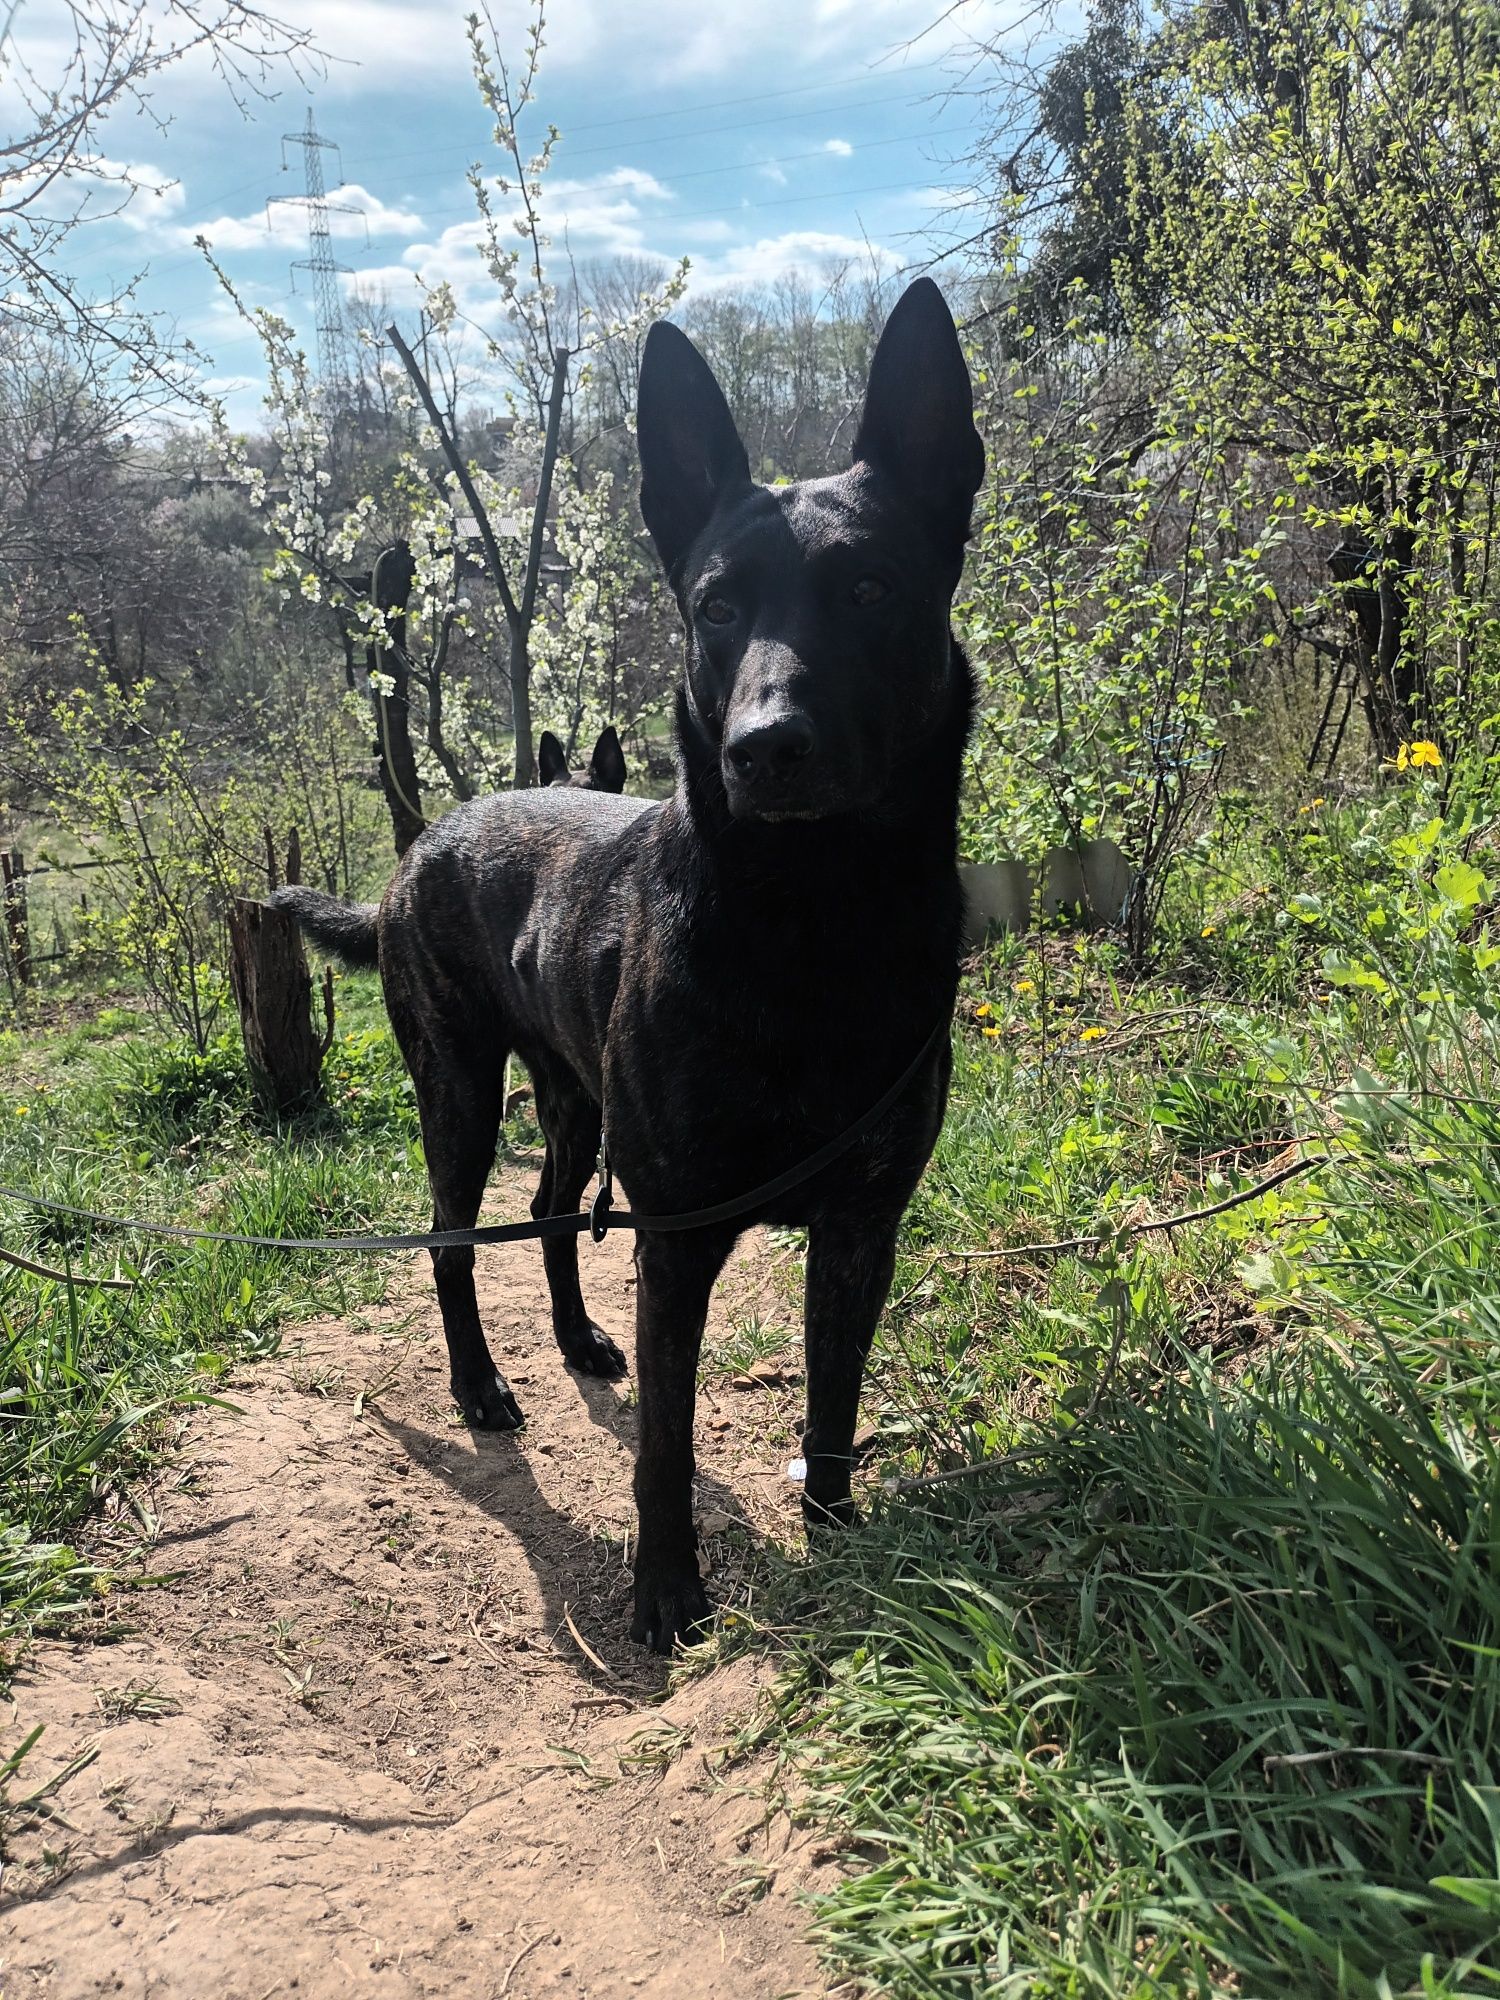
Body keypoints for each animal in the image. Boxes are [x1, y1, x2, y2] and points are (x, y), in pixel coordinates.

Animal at [276, 282, 992, 1656]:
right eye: (717, 605)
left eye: (871, 586)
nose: (767, 747)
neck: (811, 927)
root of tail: (423, 838)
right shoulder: (679, 1239)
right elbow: (665, 1442)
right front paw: (666, 1592)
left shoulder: (861, 1224)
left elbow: (832, 1399)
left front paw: (838, 1535)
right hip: (458, 1091)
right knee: (455, 1242)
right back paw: (483, 1383)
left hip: (574, 1098)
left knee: (555, 1211)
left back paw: (572, 1337)